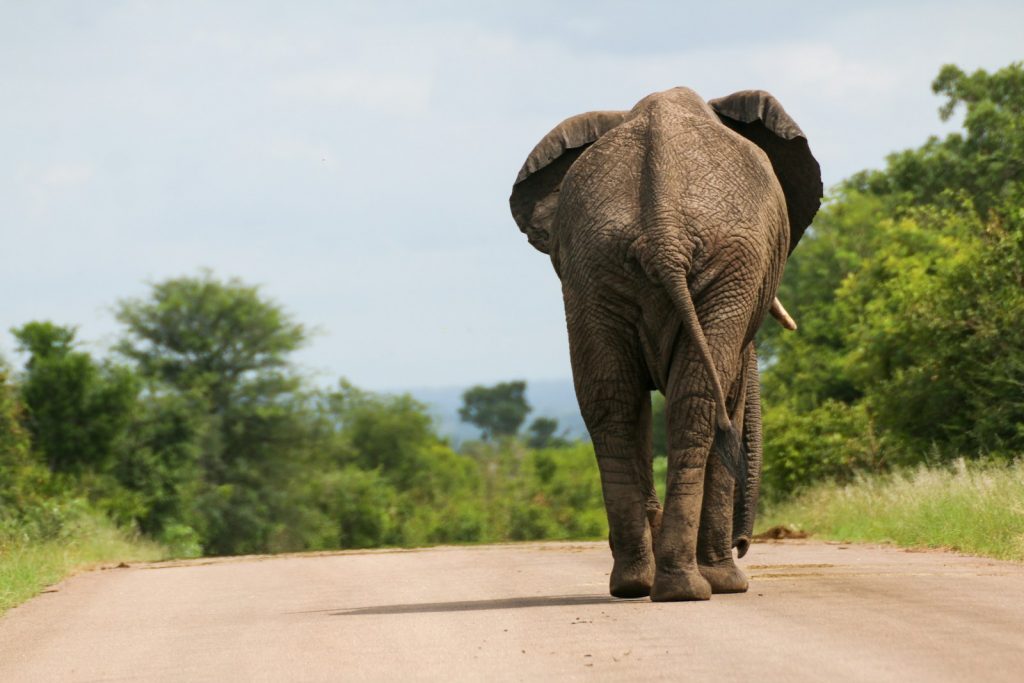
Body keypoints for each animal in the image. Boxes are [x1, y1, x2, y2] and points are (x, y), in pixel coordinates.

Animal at [509, 87, 821, 601]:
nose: (743, 545)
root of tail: (664, 229)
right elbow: (730, 396)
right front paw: (729, 582)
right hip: (726, 266)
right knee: (698, 405)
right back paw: (690, 586)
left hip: (593, 266)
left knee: (611, 402)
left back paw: (635, 583)